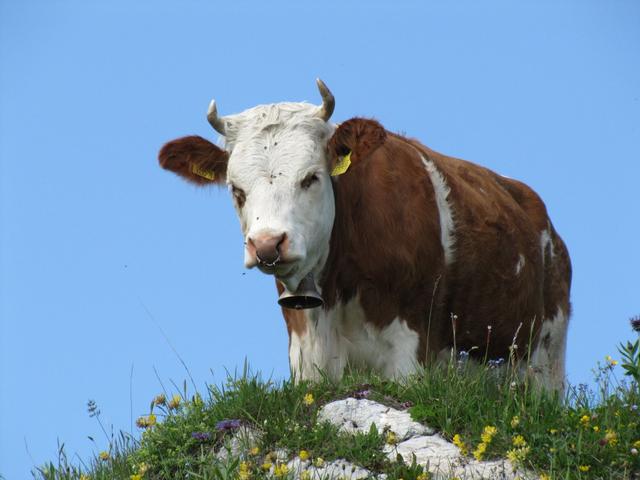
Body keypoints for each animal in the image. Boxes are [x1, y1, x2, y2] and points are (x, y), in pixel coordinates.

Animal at [159, 79, 568, 394]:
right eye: (236, 189)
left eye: (311, 177)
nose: (267, 244)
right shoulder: (305, 353)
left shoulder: (409, 350)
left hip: (546, 357)